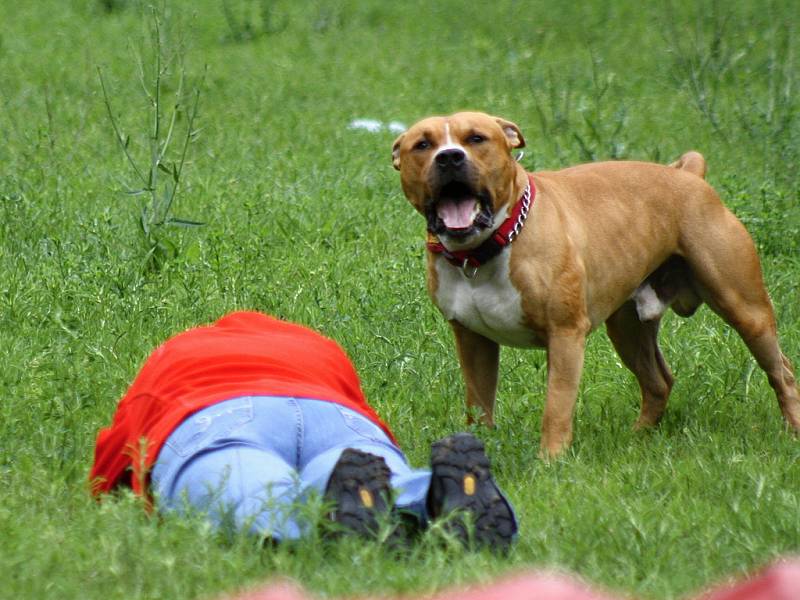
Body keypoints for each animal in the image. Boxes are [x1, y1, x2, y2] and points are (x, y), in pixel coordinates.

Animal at [392, 111, 800, 454]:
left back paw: (792, 431)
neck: (483, 251)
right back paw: (637, 437)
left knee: (782, 372)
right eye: (423, 145)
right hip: (628, 328)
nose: (449, 157)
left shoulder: (564, 336)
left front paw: (551, 462)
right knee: (658, 382)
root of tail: (688, 174)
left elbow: (556, 407)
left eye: (476, 138)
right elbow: (479, 405)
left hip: (746, 309)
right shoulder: (473, 339)